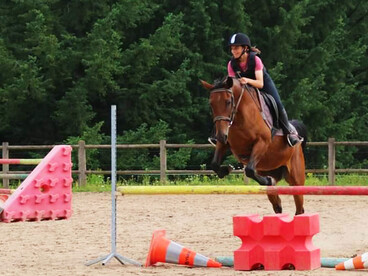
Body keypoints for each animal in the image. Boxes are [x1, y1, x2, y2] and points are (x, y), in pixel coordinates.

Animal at [203, 76, 306, 215]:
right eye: (211, 104)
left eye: (228, 102)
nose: (219, 135)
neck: (239, 118)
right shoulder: (224, 143)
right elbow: (214, 164)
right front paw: (226, 169)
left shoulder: (262, 142)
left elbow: (250, 170)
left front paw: (267, 180)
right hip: (271, 169)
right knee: (276, 203)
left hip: (296, 178)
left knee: (299, 205)